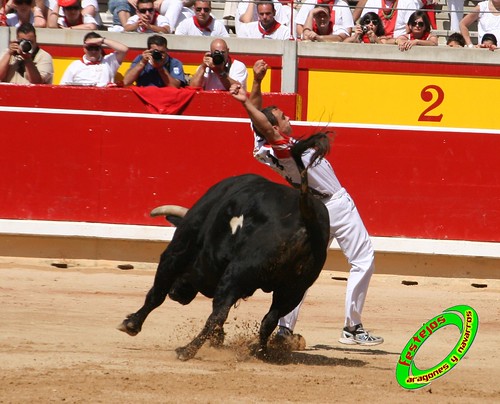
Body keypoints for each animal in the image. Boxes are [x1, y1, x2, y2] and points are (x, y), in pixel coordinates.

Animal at [117, 134, 332, 362]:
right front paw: (218, 339)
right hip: (293, 289)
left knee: (219, 313)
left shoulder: (177, 251)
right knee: (269, 319)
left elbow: (157, 292)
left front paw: (131, 323)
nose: (177, 294)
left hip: (238, 273)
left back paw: (187, 350)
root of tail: (306, 215)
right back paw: (260, 352)